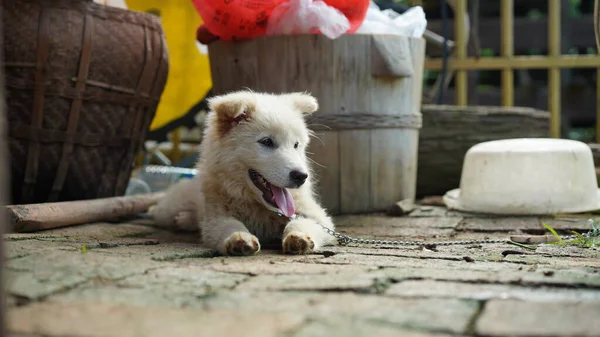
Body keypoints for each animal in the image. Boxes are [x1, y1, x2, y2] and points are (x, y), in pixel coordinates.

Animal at [150, 90, 338, 255]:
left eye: (296, 145)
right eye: (266, 142)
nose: (301, 176)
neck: (258, 206)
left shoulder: (317, 216)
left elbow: (301, 222)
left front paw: (298, 237)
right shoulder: (217, 217)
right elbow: (230, 225)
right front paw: (238, 239)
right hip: (170, 209)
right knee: (159, 210)